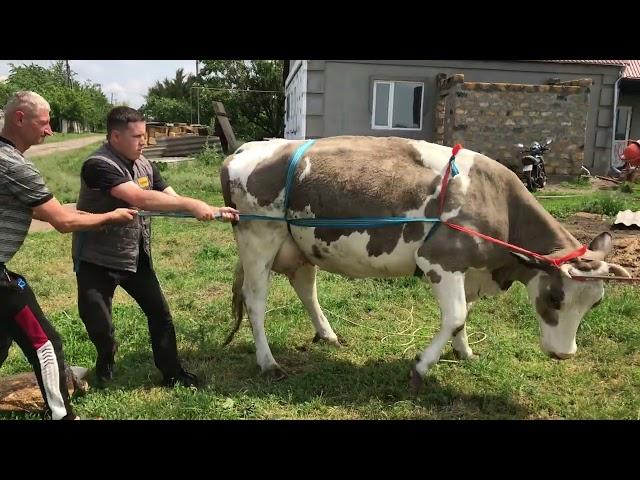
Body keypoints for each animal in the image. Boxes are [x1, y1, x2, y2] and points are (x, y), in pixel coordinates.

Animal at [220, 136, 632, 394]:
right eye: (555, 297)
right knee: (256, 302)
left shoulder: (470, 269)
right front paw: (420, 368)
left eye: (595, 303)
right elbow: (456, 316)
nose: (565, 354)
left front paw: (465, 352)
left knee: (306, 289)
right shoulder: (441, 260)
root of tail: (246, 149)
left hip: (300, 244)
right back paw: (268, 363)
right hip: (259, 238)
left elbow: (464, 316)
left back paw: (328, 335)